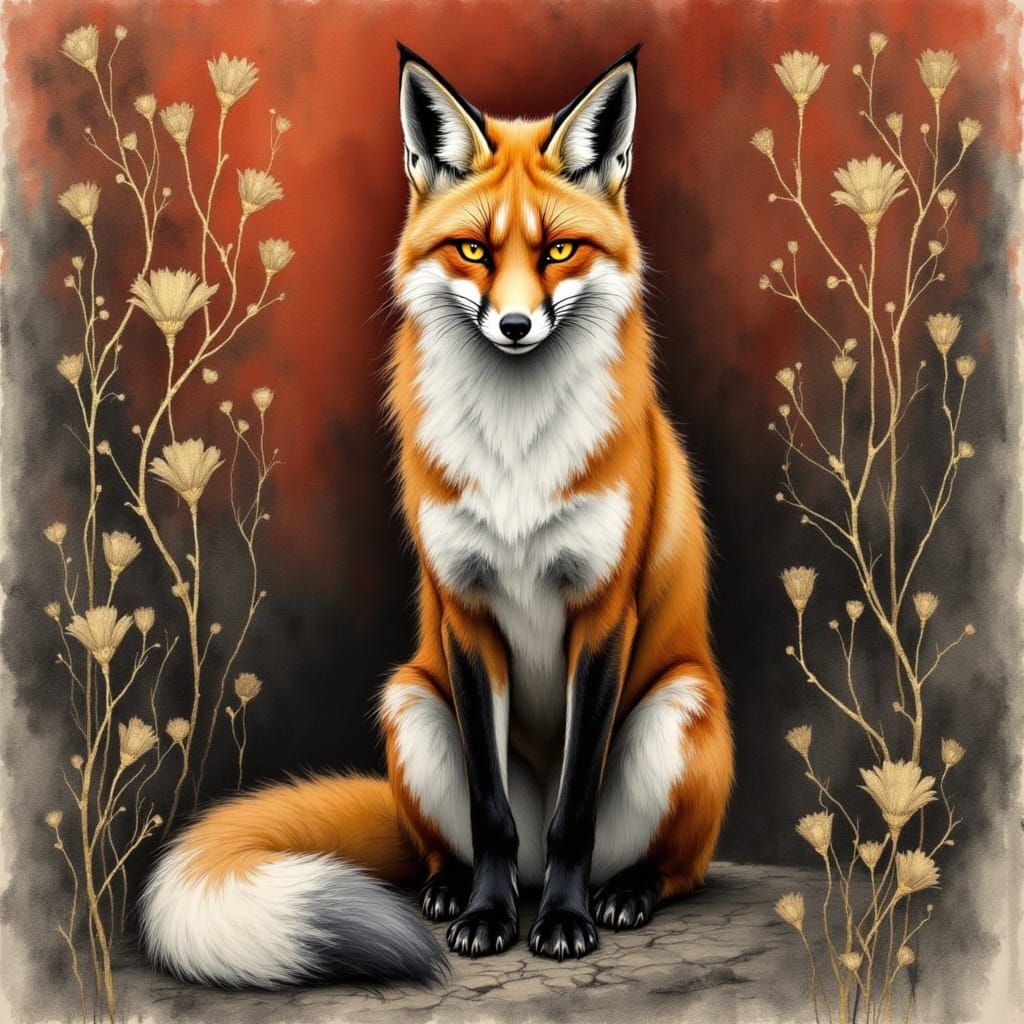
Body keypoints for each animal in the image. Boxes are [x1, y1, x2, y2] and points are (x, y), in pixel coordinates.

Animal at [139, 44, 733, 989]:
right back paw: (459, 890)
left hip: (676, 712)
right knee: (465, 845)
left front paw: (564, 925)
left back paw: (620, 894)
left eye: (559, 250)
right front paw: (488, 918)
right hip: (412, 704)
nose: (518, 325)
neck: (518, 449)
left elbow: (573, 813)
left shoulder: (602, 613)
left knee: (665, 863)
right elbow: (493, 814)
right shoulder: (467, 611)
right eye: (473, 251)